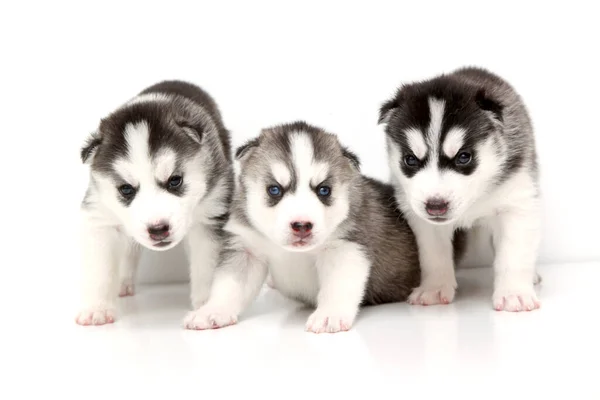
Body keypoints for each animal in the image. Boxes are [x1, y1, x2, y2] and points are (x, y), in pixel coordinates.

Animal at [75, 80, 234, 324]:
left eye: (175, 180)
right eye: (126, 189)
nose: (158, 229)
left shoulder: (211, 215)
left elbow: (206, 265)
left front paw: (207, 304)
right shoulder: (100, 216)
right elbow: (99, 269)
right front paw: (97, 308)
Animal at [185, 120, 420, 332]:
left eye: (324, 190)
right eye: (274, 190)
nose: (301, 225)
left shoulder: (345, 247)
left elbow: (338, 286)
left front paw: (329, 315)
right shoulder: (246, 250)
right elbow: (228, 286)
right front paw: (212, 311)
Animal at [380, 67, 544, 312]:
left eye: (464, 157)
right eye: (410, 160)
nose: (435, 206)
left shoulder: (517, 204)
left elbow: (513, 254)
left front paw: (514, 293)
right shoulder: (424, 222)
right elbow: (434, 255)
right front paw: (435, 288)